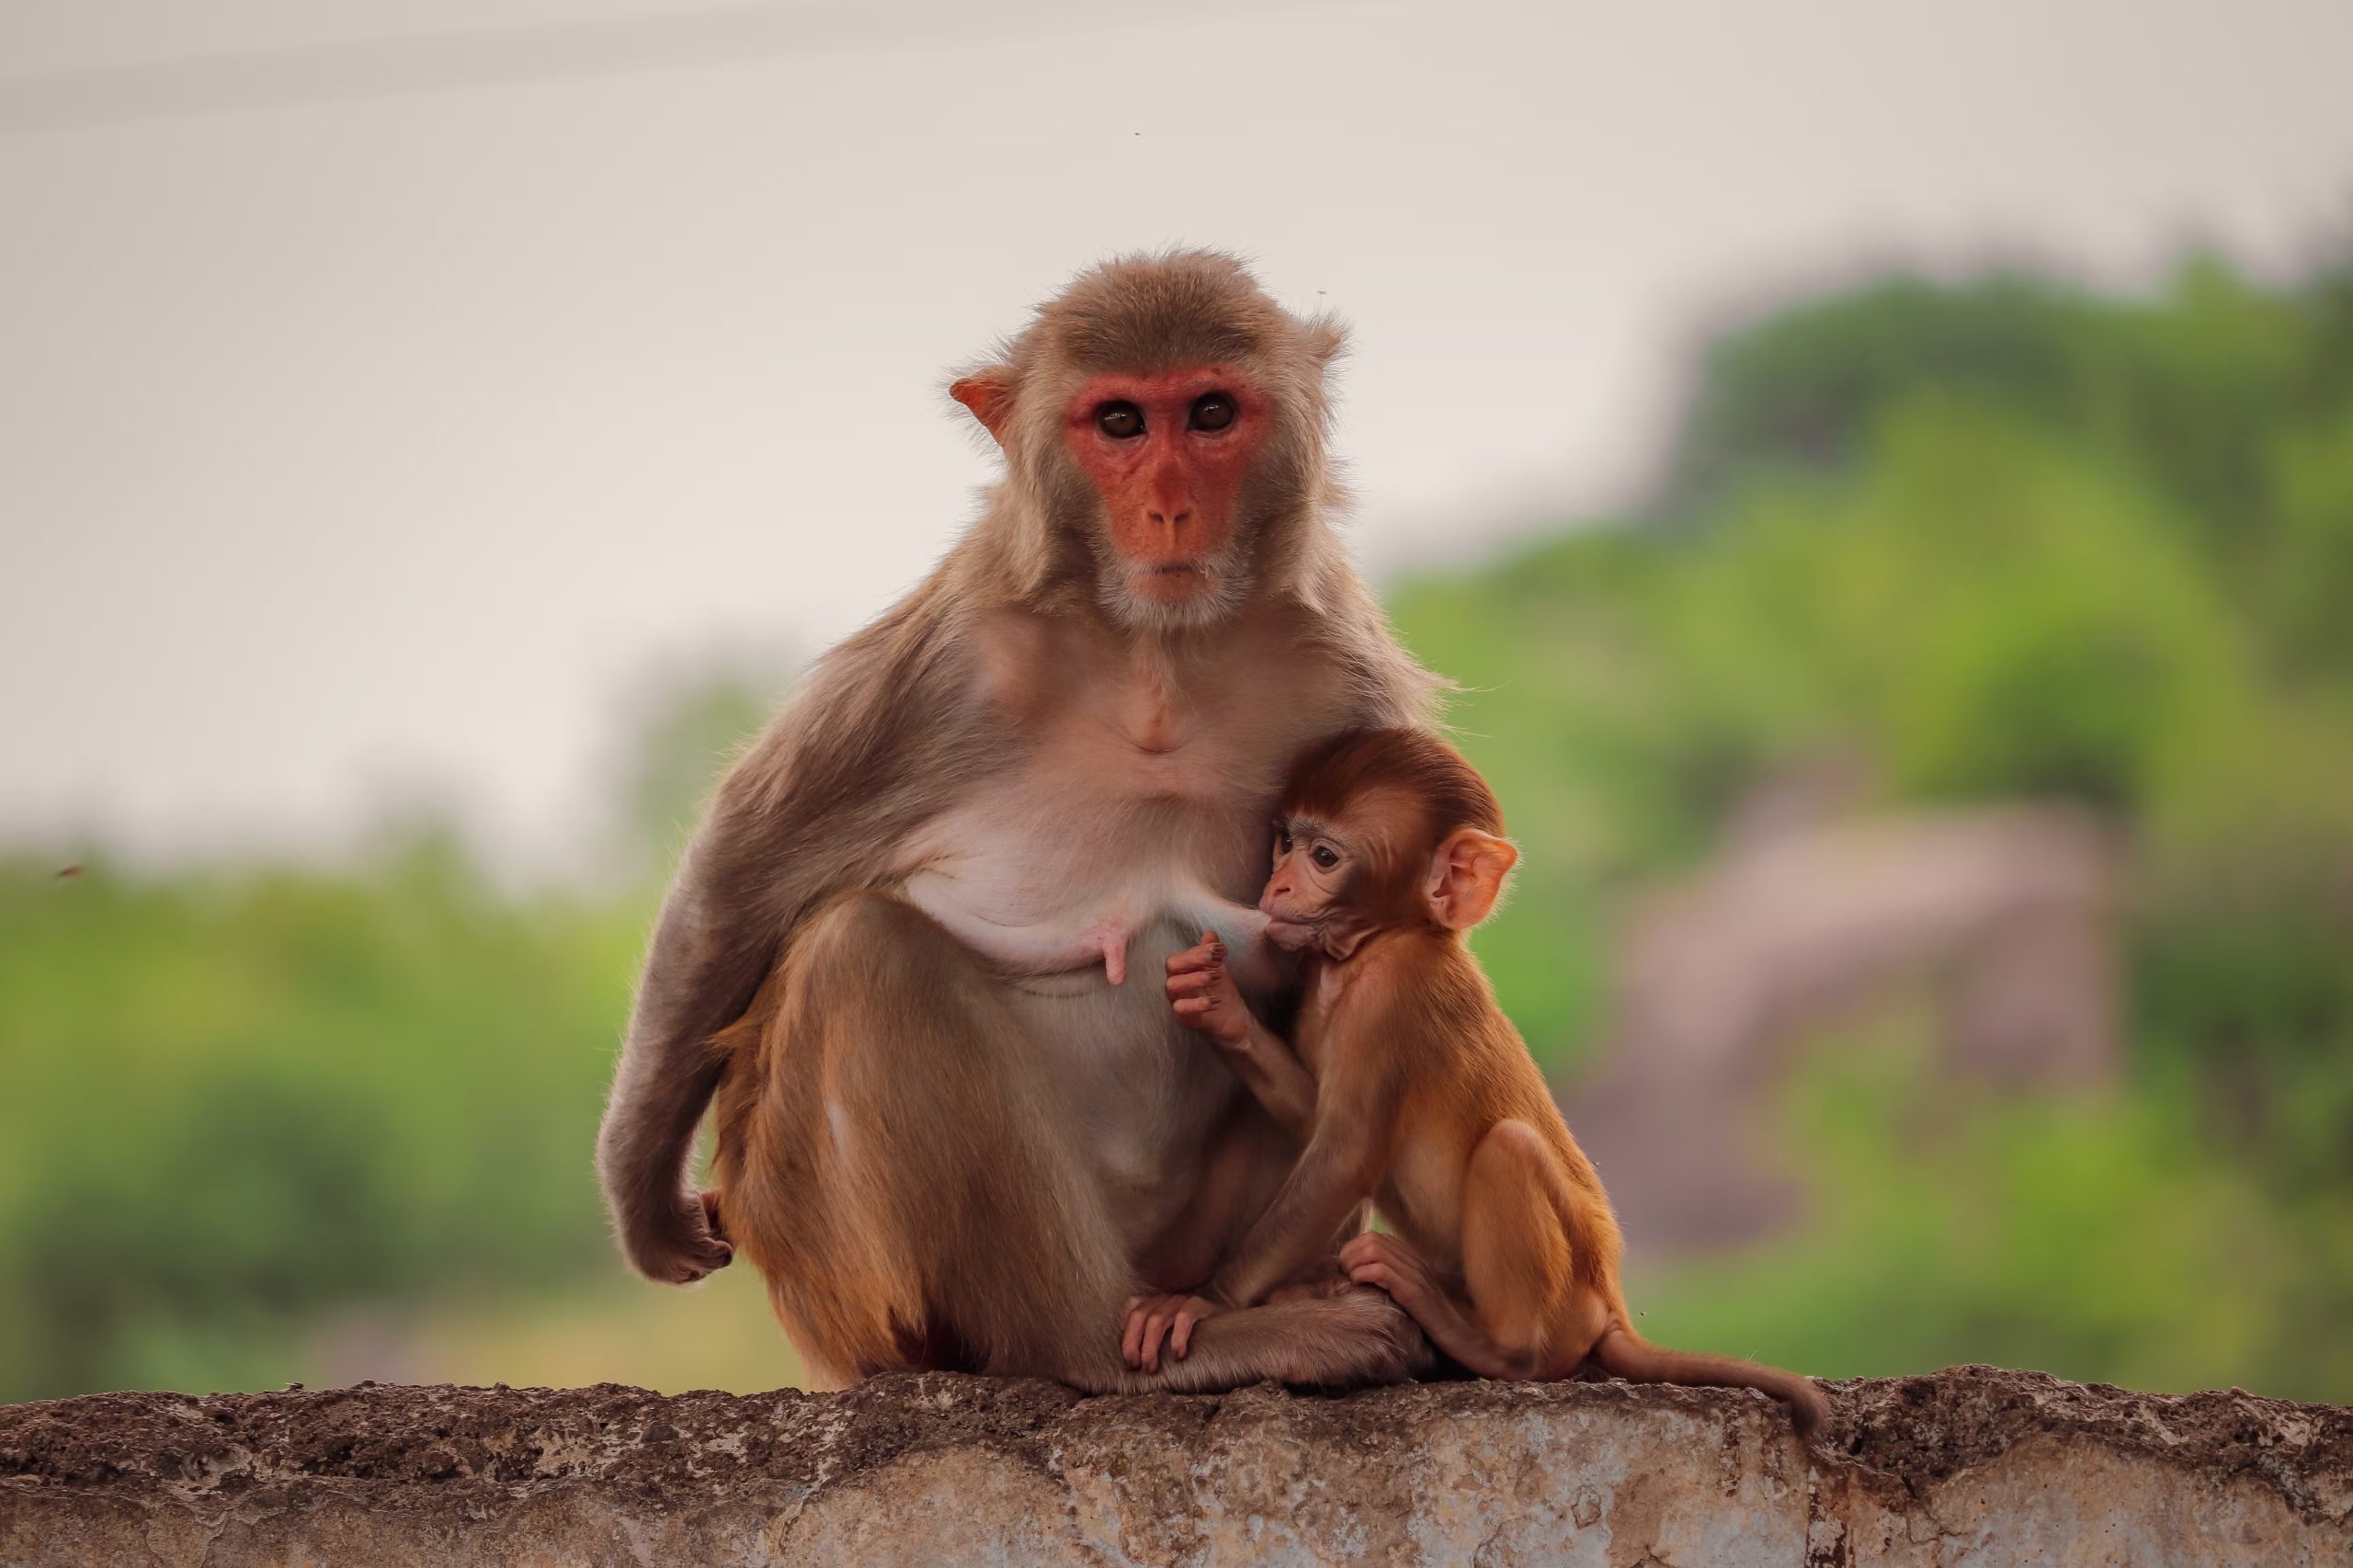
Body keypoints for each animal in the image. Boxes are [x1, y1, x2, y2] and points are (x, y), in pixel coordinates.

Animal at [596, 251, 1448, 1394]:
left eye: (1211, 412)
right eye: (1121, 422)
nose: (1169, 508)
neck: (1156, 651)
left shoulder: (1347, 675)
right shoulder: (949, 658)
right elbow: (745, 871)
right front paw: (643, 1194)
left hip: (1181, 1246)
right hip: (851, 1286)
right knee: (867, 951)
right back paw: (1115, 1348)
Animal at [1133, 727, 1831, 1438]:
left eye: (1324, 856)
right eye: (1284, 841)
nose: (1275, 887)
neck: (1372, 947)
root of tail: (1612, 1303)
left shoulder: (1392, 1000)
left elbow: (1346, 1154)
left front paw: (1201, 1301)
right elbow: (1317, 1119)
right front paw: (1220, 1007)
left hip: (1568, 1295)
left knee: (1509, 1150)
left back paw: (1492, 1344)